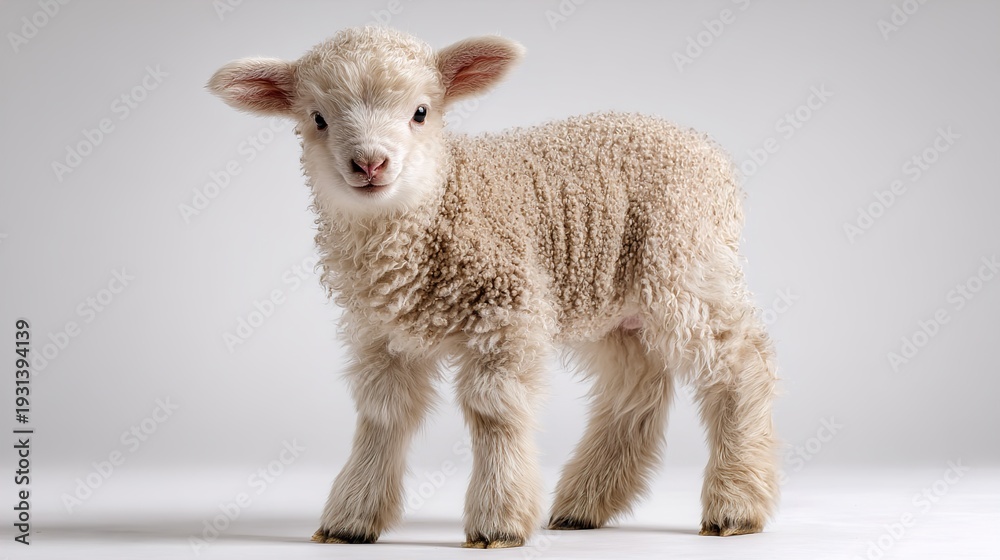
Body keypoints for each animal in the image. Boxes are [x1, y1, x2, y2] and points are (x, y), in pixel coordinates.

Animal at [208, 26, 779, 549]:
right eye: (318, 119)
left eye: (421, 112)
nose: (370, 164)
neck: (439, 202)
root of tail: (705, 150)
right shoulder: (383, 333)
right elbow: (382, 414)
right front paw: (351, 519)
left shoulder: (506, 309)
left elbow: (494, 411)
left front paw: (497, 522)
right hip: (612, 302)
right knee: (635, 388)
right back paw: (585, 504)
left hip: (684, 263)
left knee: (741, 365)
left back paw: (736, 503)